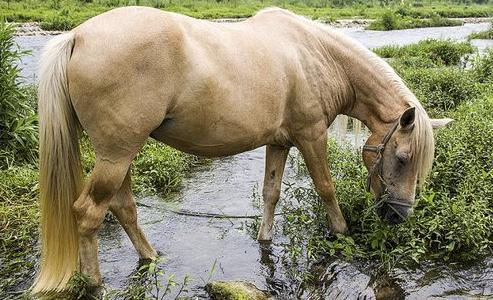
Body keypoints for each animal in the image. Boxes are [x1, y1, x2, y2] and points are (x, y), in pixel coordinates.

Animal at [32, 6, 452, 292]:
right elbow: (325, 188)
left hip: (119, 155)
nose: (400, 215)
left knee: (123, 207)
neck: (315, 57)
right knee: (88, 214)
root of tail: (77, 37)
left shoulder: (280, 142)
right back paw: (95, 283)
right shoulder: (311, 135)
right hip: (116, 156)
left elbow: (271, 192)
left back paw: (151, 258)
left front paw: (265, 240)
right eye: (403, 159)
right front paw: (341, 233)